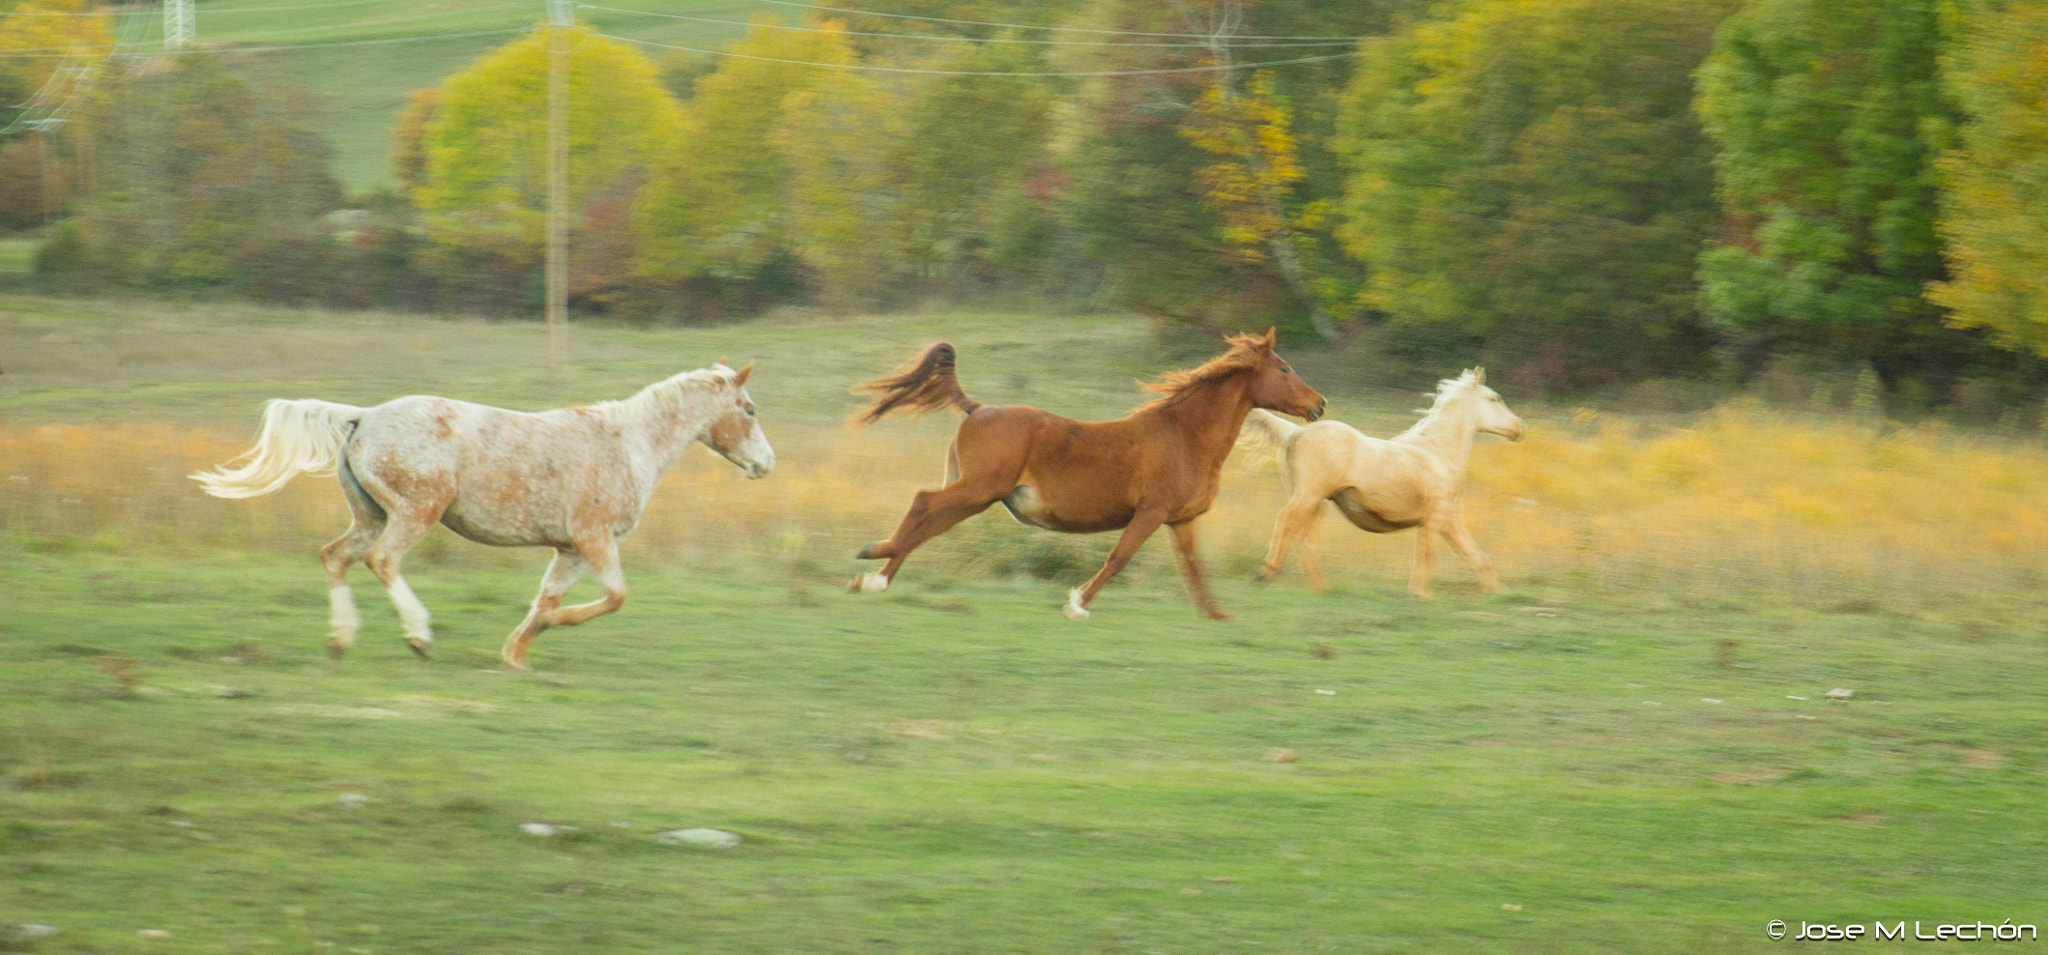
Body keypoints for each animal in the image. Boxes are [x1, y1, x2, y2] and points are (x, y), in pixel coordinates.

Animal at [190, 363, 773, 669]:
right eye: (748, 409)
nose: (766, 464)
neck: (627, 446)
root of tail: (364, 416)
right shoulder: (595, 539)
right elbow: (614, 598)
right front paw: (542, 634)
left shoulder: (569, 549)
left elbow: (548, 597)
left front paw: (517, 653)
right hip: (416, 511)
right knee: (383, 561)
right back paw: (418, 635)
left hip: (370, 515)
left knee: (335, 557)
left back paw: (341, 638)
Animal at [848, 329, 1325, 620]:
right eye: (1284, 368)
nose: (1319, 403)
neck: (1184, 436)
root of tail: (977, 408)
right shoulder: (1150, 512)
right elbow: (1119, 558)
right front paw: (1077, 604)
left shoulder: (1181, 520)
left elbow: (1194, 568)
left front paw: (1218, 616)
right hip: (978, 489)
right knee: (922, 503)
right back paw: (872, 556)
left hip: (977, 497)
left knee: (928, 527)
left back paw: (875, 579)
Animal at [1238, 368, 1523, 598]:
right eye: (1494, 398)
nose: (1520, 427)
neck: (1438, 451)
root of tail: (1296, 431)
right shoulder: (1437, 516)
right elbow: (1427, 553)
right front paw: (1421, 595)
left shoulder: (1449, 519)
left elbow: (1476, 557)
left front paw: (1501, 593)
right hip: (1309, 495)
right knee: (1287, 521)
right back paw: (1265, 573)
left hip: (1314, 500)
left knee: (1303, 535)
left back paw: (1321, 588)